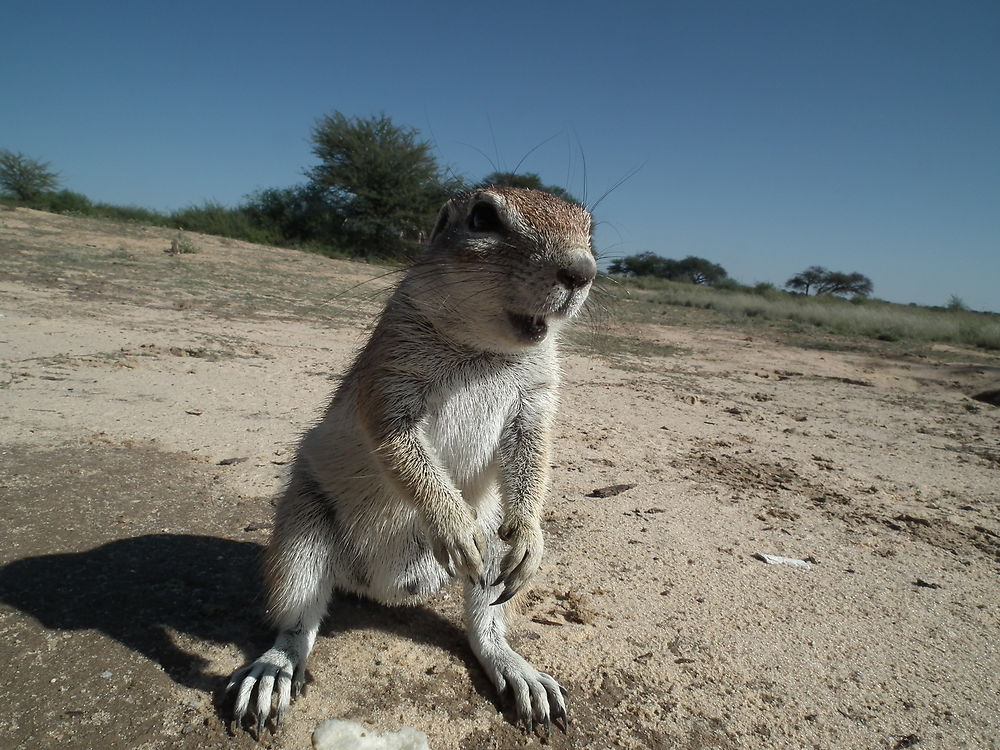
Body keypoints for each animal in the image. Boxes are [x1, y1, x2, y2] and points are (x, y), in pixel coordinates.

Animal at [229, 185, 592, 736]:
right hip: (301, 537)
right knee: (297, 622)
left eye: (590, 228)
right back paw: (273, 672)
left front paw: (531, 536)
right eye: (482, 217)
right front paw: (451, 523)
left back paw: (517, 669)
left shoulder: (535, 401)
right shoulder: (389, 382)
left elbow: (534, 456)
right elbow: (400, 450)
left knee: (483, 625)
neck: (485, 350)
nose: (581, 271)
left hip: (491, 555)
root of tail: (383, 589)